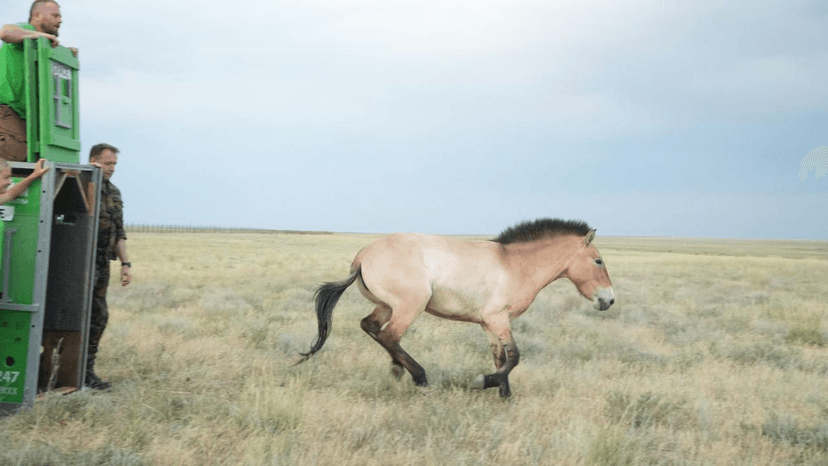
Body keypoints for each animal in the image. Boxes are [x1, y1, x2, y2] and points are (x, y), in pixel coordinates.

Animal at [297, 218, 615, 398]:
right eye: (598, 261)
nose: (609, 300)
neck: (515, 265)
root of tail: (362, 256)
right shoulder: (499, 318)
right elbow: (515, 358)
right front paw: (484, 383)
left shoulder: (488, 324)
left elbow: (501, 359)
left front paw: (504, 396)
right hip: (410, 306)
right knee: (389, 336)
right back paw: (419, 378)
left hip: (386, 306)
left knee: (371, 327)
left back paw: (397, 369)